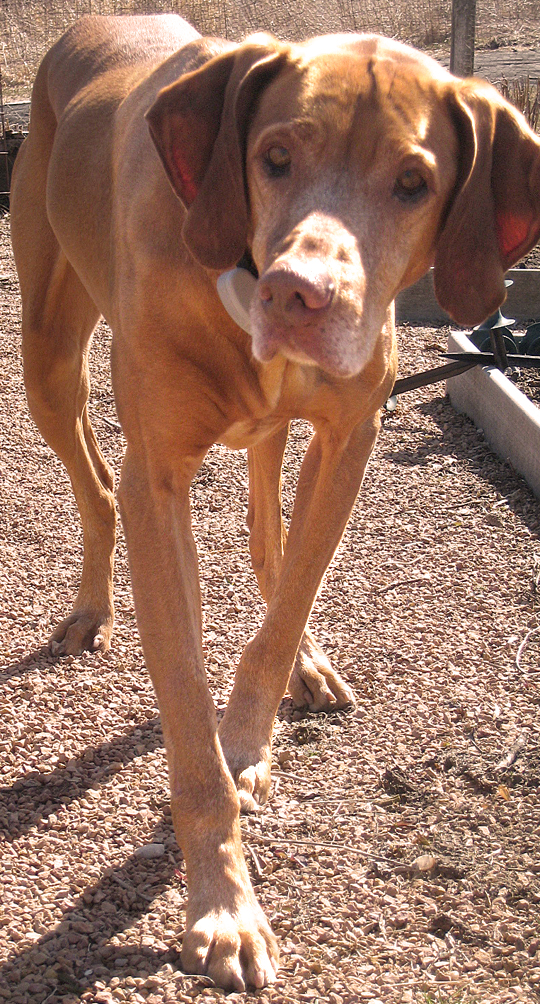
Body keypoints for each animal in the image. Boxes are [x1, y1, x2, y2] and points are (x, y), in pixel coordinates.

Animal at [9, 13, 540, 987]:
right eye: (274, 156)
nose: (302, 295)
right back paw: (91, 608)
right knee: (98, 487)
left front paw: (254, 732)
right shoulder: (160, 477)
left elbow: (288, 599)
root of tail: (96, 22)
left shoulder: (350, 436)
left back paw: (306, 663)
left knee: (270, 538)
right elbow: (189, 729)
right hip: (48, 358)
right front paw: (223, 908)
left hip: (267, 433)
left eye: (414, 183)